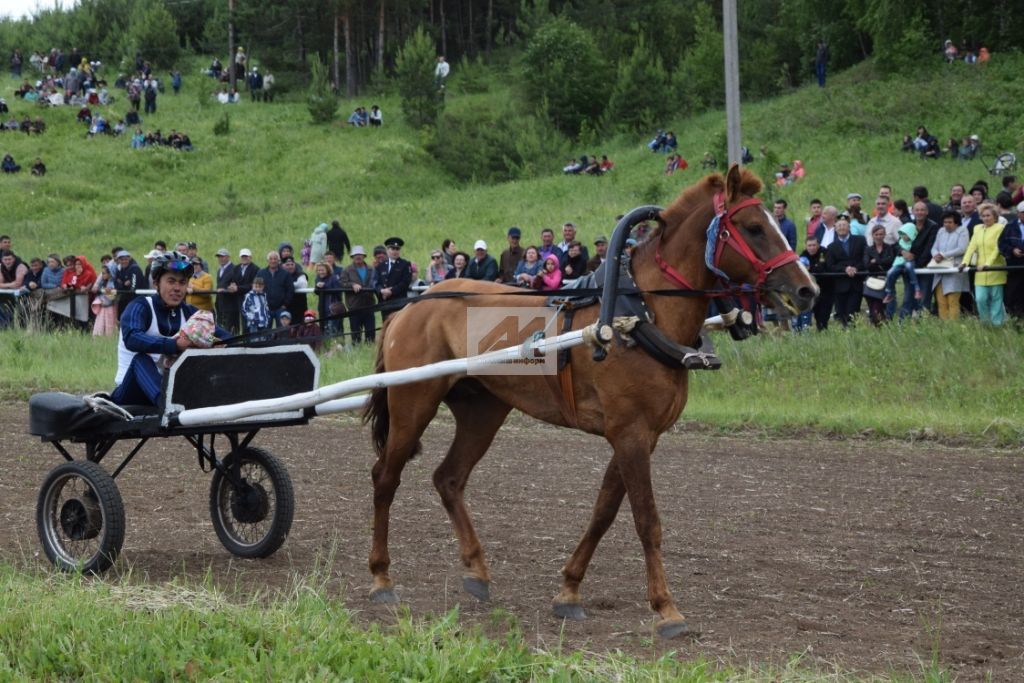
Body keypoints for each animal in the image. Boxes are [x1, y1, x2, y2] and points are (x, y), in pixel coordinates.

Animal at [364, 163, 819, 634]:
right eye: (753, 228)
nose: (808, 290)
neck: (639, 314)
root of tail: (411, 306)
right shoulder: (630, 432)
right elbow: (646, 519)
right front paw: (666, 609)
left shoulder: (641, 435)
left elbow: (604, 512)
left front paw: (569, 589)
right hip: (413, 402)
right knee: (385, 477)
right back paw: (382, 578)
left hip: (483, 410)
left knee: (449, 479)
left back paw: (477, 570)